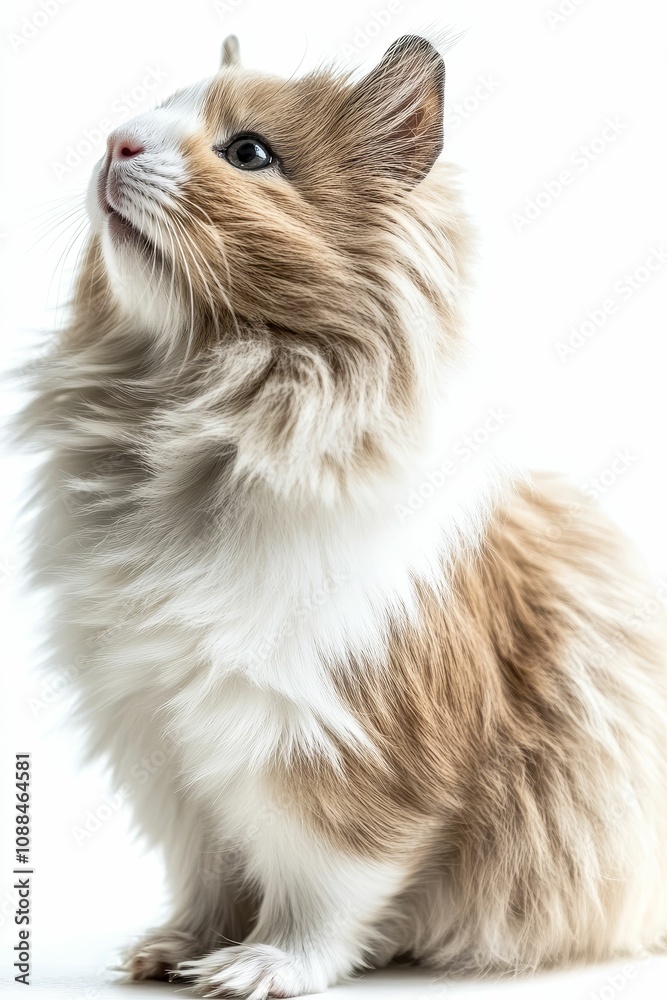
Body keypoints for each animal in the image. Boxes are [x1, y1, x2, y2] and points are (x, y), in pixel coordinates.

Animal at [20, 33, 667, 998]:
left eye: (249, 152)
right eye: (157, 108)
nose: (114, 144)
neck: (196, 395)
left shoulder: (339, 751)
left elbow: (324, 891)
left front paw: (249, 973)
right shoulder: (162, 754)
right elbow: (205, 874)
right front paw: (162, 956)